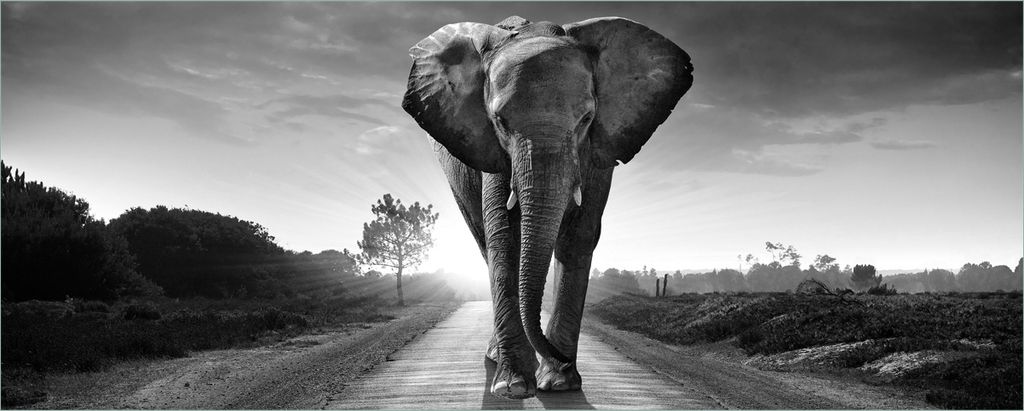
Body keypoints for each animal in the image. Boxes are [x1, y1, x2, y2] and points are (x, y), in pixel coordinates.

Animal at [402, 15, 693, 399]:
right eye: (500, 121)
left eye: (586, 119)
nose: (560, 358)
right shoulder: (492, 152)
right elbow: (504, 238)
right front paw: (513, 386)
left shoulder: (598, 151)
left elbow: (579, 237)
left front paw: (559, 383)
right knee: (483, 242)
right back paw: (497, 358)